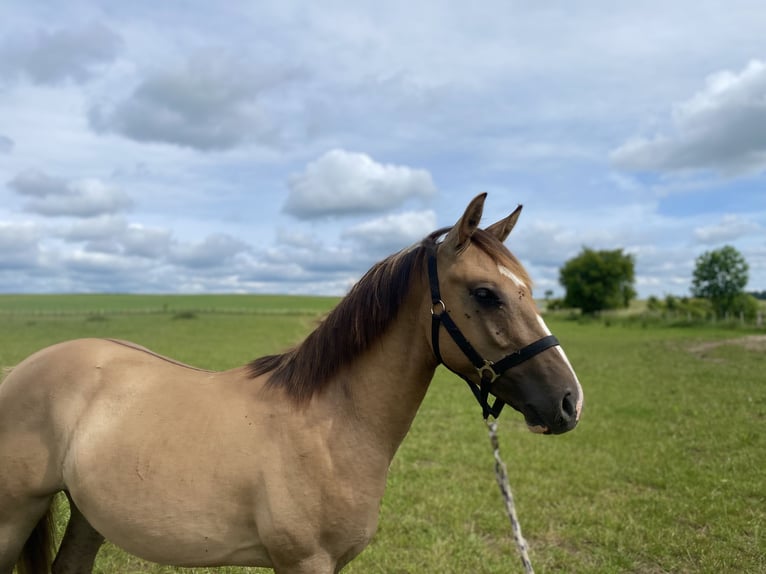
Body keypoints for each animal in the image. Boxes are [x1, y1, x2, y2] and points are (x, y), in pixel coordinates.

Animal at [1, 196, 584, 572]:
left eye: (529, 289)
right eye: (487, 294)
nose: (569, 402)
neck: (331, 425)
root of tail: (22, 372)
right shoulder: (304, 561)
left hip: (88, 515)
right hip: (13, 517)